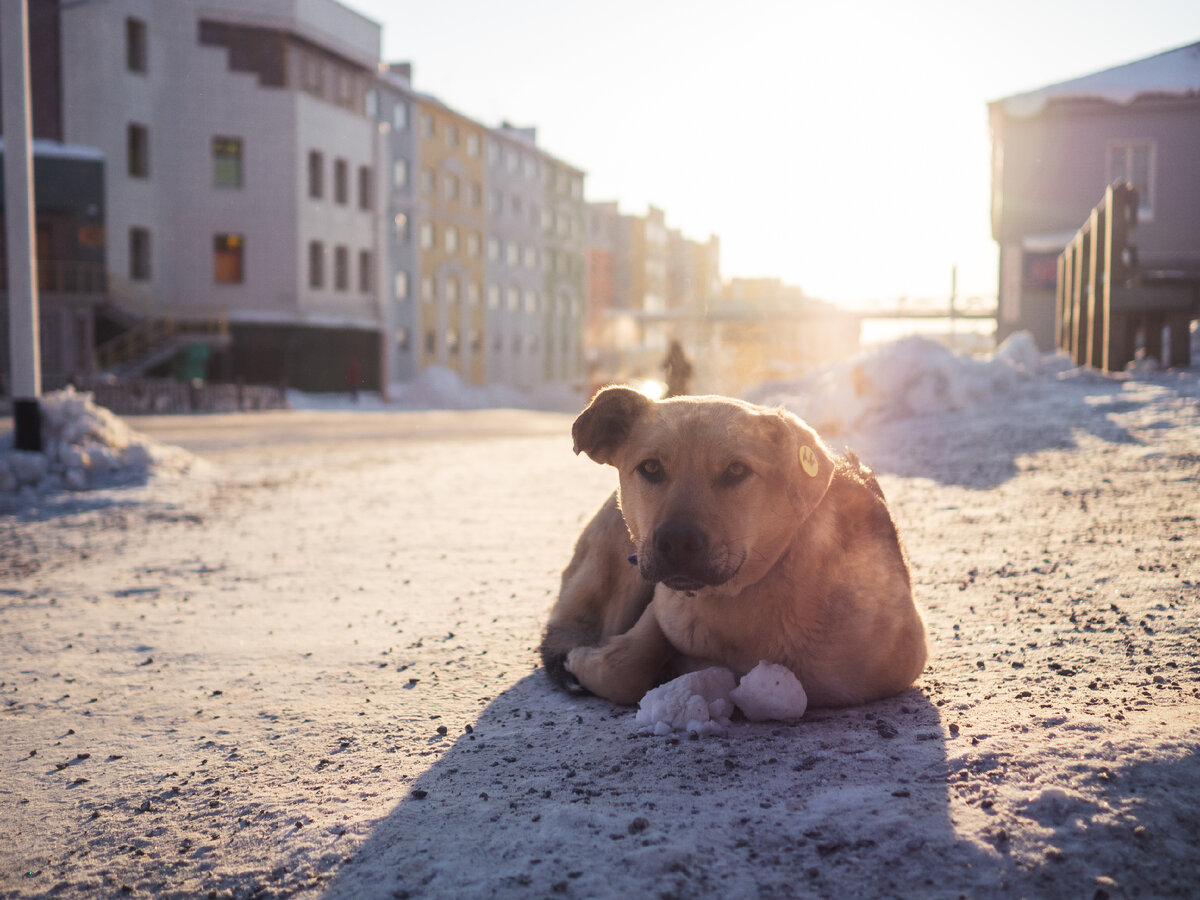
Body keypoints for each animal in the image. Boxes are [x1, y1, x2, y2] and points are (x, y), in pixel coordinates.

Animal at [542, 388, 926, 710]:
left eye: (737, 469)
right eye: (650, 467)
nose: (676, 542)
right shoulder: (663, 605)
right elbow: (624, 669)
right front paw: (587, 661)